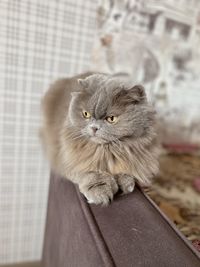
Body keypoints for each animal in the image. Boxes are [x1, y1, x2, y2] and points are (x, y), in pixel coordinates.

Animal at [40, 72, 159, 206]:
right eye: (86, 114)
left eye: (111, 119)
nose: (94, 127)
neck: (105, 151)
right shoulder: (68, 160)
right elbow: (90, 173)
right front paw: (101, 190)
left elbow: (126, 170)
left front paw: (126, 182)